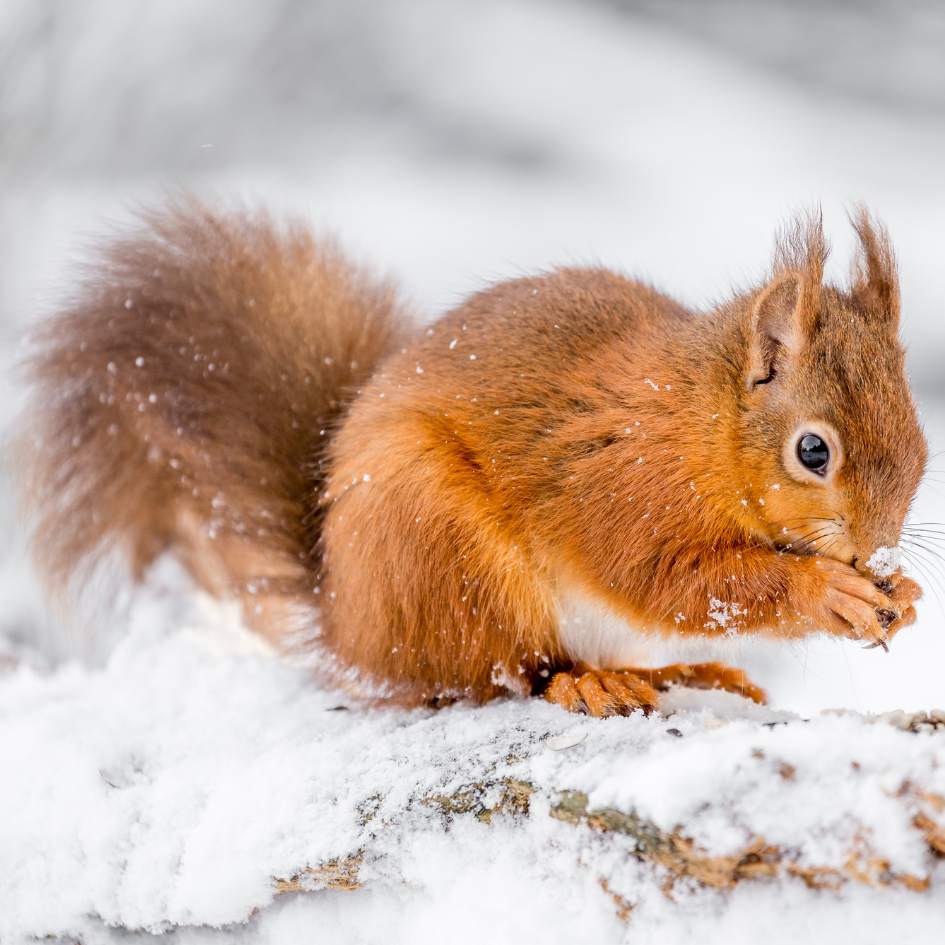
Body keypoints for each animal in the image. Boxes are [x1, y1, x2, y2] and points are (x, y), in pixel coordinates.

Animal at [22, 199, 920, 716]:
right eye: (812, 450)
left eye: (917, 437)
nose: (873, 548)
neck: (701, 425)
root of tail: (344, 619)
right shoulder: (621, 485)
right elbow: (671, 579)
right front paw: (825, 591)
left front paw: (901, 594)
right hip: (443, 553)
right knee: (501, 669)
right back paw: (584, 680)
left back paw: (688, 673)